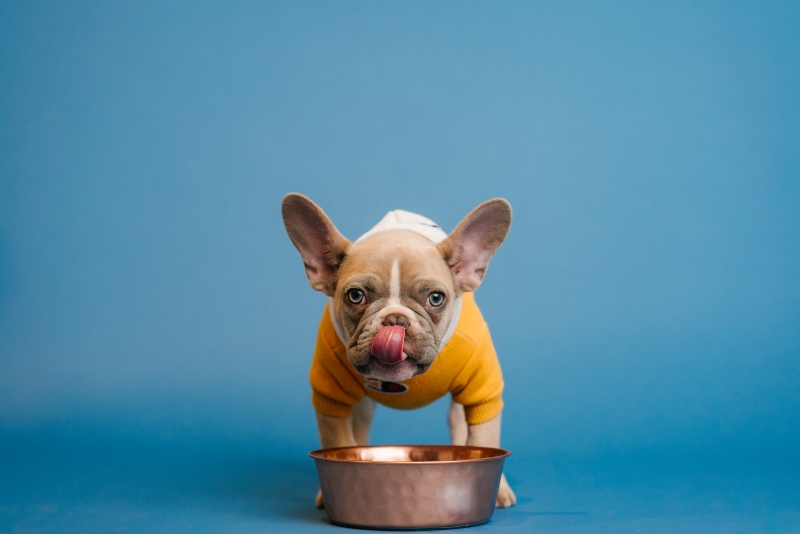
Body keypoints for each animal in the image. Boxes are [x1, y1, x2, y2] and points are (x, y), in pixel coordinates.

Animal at [284, 194, 516, 510]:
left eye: (436, 298)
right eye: (355, 296)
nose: (396, 319)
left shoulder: (482, 392)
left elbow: (485, 437)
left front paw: (498, 489)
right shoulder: (330, 398)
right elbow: (338, 440)